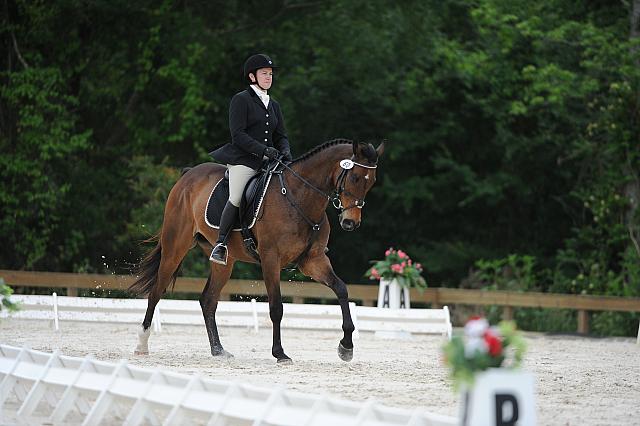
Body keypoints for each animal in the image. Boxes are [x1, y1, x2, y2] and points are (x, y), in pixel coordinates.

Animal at [127, 139, 382, 362]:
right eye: (355, 177)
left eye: (371, 182)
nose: (350, 222)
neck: (299, 196)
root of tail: (188, 175)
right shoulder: (271, 259)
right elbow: (276, 307)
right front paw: (280, 353)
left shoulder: (313, 260)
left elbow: (341, 289)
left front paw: (346, 347)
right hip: (175, 248)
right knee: (156, 291)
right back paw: (141, 344)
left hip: (224, 262)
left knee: (208, 300)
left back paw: (218, 350)